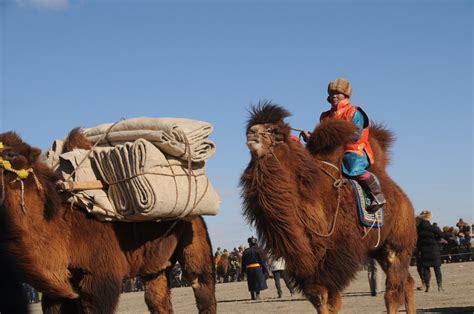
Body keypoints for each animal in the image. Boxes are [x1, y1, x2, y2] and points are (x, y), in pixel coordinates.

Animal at [0, 129, 217, 312]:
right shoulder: (58, 294)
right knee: (157, 297)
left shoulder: (100, 279)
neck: (62, 230)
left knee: (200, 282)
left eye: (11, 154)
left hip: (194, 232)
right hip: (156, 266)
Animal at [241, 102, 414, 312]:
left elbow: (327, 298)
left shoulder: (335, 256)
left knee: (393, 292)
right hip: (379, 249)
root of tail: (404, 200)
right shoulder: (308, 262)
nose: (251, 133)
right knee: (408, 283)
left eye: (275, 131)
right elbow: (318, 297)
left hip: (396, 246)